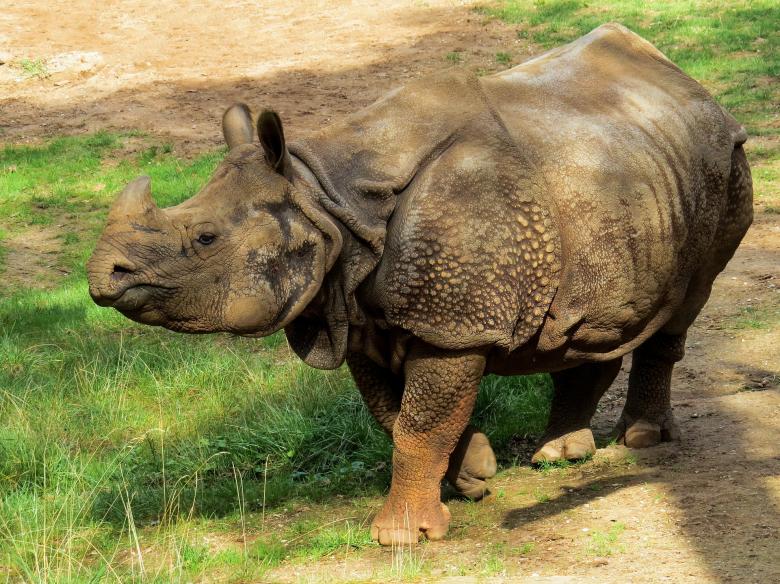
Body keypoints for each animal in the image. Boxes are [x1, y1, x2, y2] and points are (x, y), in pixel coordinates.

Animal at [87, 24, 753, 544]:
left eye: (204, 239)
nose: (103, 279)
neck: (327, 202)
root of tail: (693, 86)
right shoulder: (356, 313)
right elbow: (395, 416)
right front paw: (476, 475)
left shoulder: (453, 324)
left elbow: (420, 422)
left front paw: (401, 536)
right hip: (617, 179)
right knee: (589, 320)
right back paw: (560, 455)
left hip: (727, 165)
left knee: (686, 302)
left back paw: (641, 441)